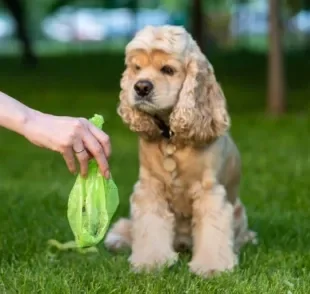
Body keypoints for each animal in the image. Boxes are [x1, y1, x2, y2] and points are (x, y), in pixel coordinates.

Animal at [104, 25, 256, 278]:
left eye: (168, 69)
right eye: (137, 68)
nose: (141, 87)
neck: (172, 138)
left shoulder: (210, 192)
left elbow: (213, 230)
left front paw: (212, 267)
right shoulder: (150, 187)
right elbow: (150, 226)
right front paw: (150, 262)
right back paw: (117, 239)